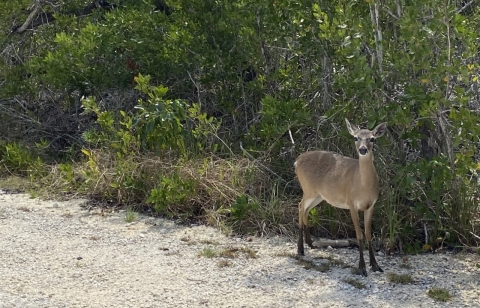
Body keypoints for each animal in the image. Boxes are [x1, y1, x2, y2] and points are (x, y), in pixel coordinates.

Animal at [294, 118, 388, 276]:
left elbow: (369, 234)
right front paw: (362, 268)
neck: (363, 186)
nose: (363, 149)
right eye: (356, 137)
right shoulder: (351, 203)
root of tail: (297, 161)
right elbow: (359, 235)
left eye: (372, 139)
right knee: (300, 205)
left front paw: (375, 266)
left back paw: (310, 243)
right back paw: (300, 249)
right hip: (308, 188)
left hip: (319, 195)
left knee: (305, 209)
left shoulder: (371, 205)